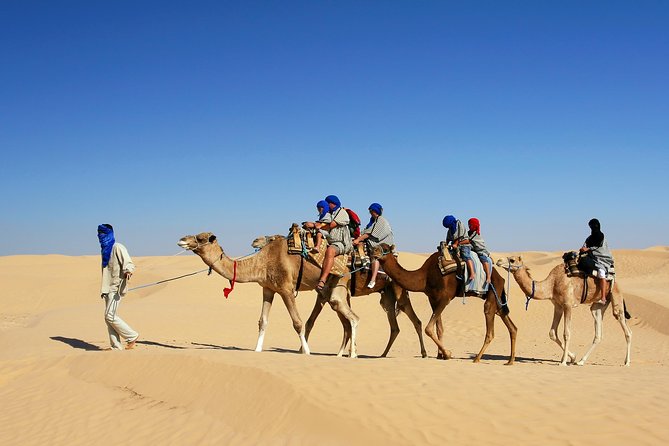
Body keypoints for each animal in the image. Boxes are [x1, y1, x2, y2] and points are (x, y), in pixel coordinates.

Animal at [252, 235, 428, 358]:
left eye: (271, 238)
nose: (255, 241)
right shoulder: (323, 294)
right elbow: (313, 322)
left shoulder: (326, 293)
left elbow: (316, 322)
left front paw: (303, 350)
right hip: (387, 296)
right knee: (394, 326)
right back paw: (382, 354)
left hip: (399, 290)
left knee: (414, 319)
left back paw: (424, 353)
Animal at [370, 244, 517, 365]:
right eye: (377, 246)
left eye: (385, 248)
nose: (373, 251)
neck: (425, 276)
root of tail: (501, 277)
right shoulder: (433, 299)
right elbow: (439, 328)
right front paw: (440, 355)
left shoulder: (445, 298)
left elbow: (429, 328)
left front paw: (447, 353)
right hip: (497, 298)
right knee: (510, 324)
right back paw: (510, 361)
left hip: (493, 292)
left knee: (490, 328)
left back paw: (477, 358)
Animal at [496, 256, 632, 366]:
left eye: (512, 260)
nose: (498, 261)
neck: (551, 284)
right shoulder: (558, 306)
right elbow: (552, 333)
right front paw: (572, 357)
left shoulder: (567, 305)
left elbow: (566, 333)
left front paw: (564, 362)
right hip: (598, 304)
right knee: (598, 331)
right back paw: (581, 361)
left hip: (616, 296)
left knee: (626, 328)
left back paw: (627, 362)